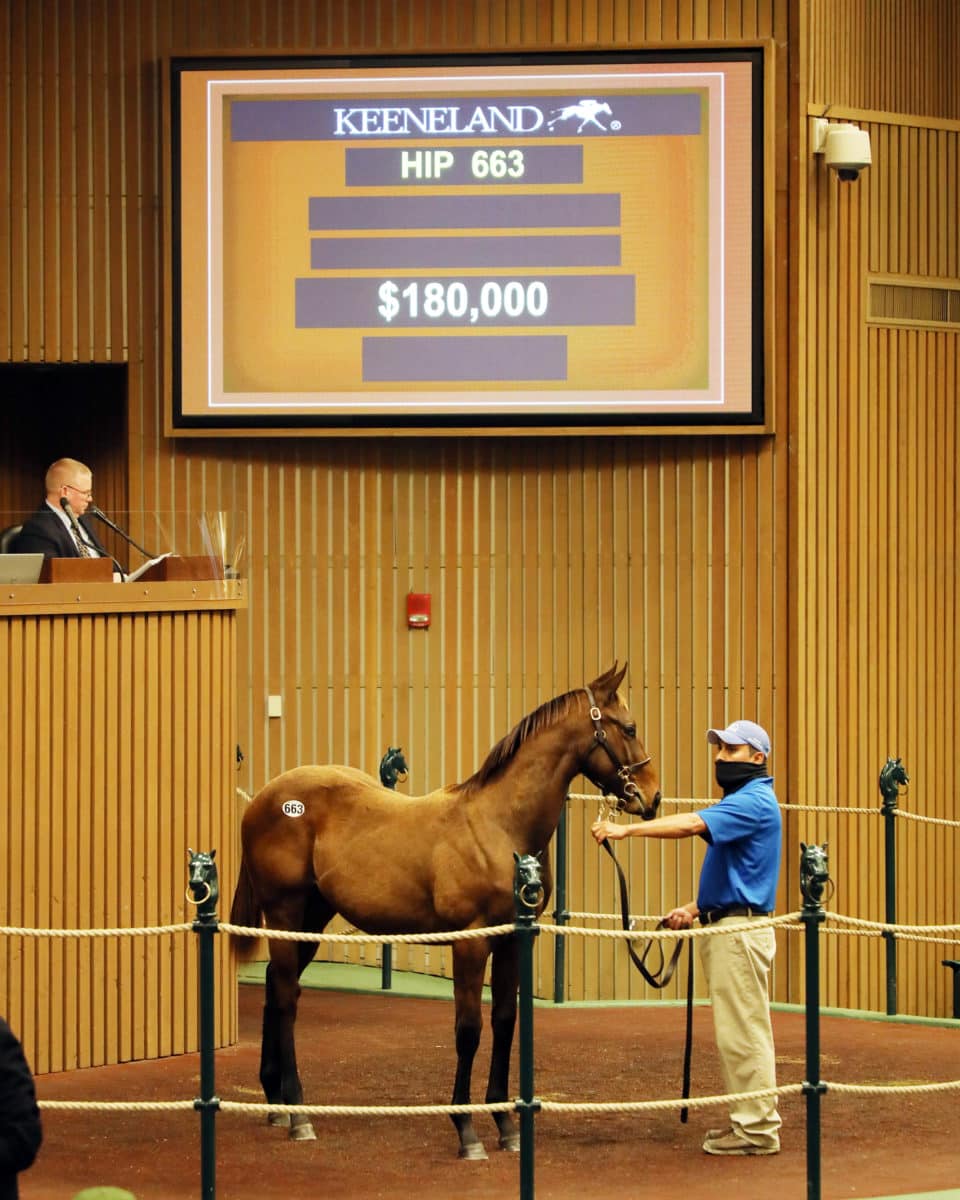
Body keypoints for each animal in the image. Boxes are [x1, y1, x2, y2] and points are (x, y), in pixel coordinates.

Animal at [230, 662, 662, 1156]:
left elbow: (505, 1021)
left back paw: (276, 1103)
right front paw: (466, 1130)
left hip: (312, 920)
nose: (653, 797)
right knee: (285, 997)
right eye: (629, 728)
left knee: (274, 986)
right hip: (286, 912)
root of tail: (266, 798)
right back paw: (299, 1114)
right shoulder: (470, 943)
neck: (499, 826)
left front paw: (507, 1127)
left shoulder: (512, 940)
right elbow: (468, 1029)